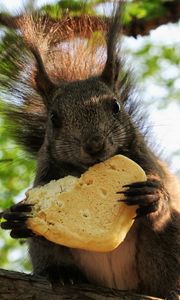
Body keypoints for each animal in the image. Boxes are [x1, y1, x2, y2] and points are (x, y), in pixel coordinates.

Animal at [0, 2, 179, 300]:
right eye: (54, 119)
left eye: (116, 106)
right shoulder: (44, 176)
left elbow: (162, 197)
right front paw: (17, 217)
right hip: (47, 251)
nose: (94, 145)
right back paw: (61, 273)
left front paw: (153, 195)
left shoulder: (149, 164)